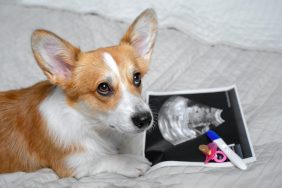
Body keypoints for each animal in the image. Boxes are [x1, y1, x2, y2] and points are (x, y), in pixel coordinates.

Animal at [0, 8, 158, 178]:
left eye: (137, 78)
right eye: (103, 87)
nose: (145, 119)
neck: (89, 123)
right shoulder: (74, 163)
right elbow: (103, 159)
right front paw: (129, 161)